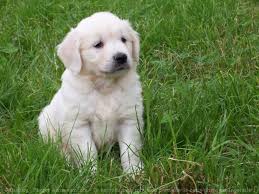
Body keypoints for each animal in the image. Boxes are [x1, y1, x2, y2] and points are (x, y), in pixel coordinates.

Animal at [38, 11, 144, 173]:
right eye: (98, 44)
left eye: (123, 39)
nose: (121, 57)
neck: (105, 86)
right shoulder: (79, 124)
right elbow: (88, 151)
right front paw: (90, 174)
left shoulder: (129, 118)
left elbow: (130, 150)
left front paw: (134, 172)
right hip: (46, 124)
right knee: (58, 149)